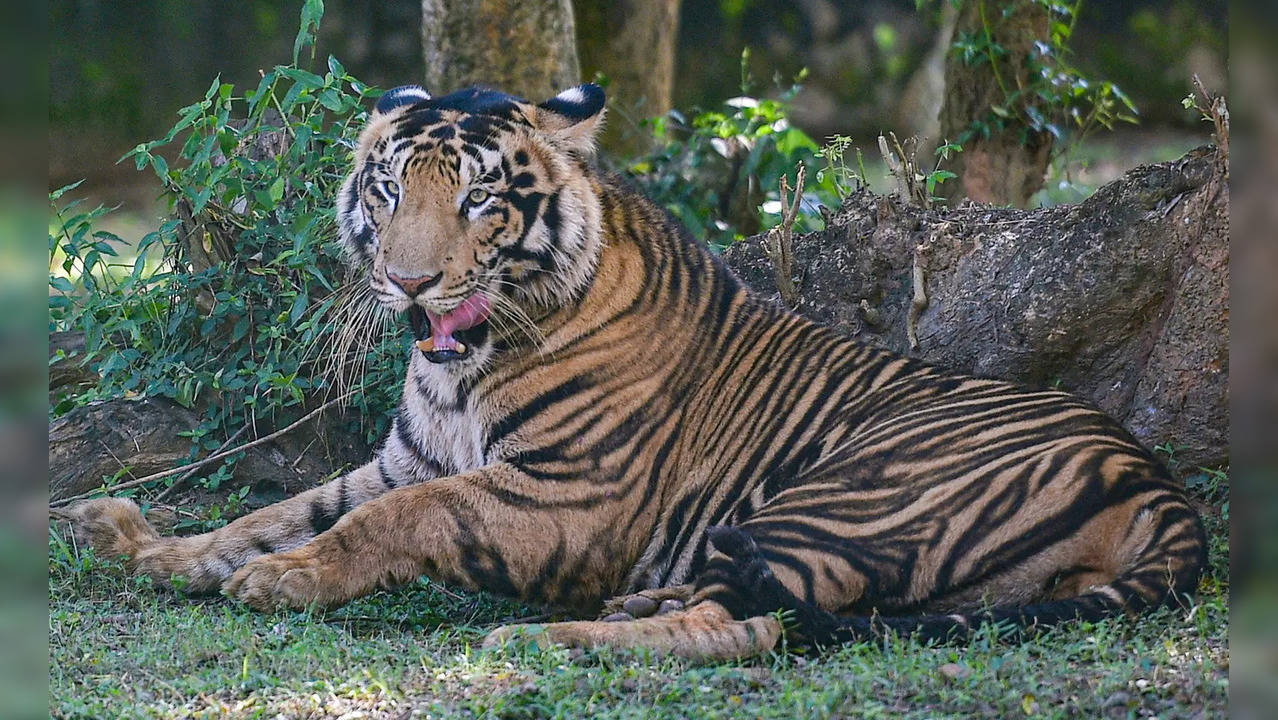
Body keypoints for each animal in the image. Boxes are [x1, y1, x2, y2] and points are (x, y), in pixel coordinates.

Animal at [64, 81, 1206, 659]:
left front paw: (282, 580)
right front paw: (157, 549)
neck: (470, 362)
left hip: (855, 491)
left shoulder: (572, 496)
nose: (409, 282)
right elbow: (287, 509)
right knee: (773, 610)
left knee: (770, 623)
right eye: (388, 191)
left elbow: (394, 521)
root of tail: (1161, 491)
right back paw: (624, 615)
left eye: (479, 199)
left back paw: (554, 639)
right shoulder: (401, 458)